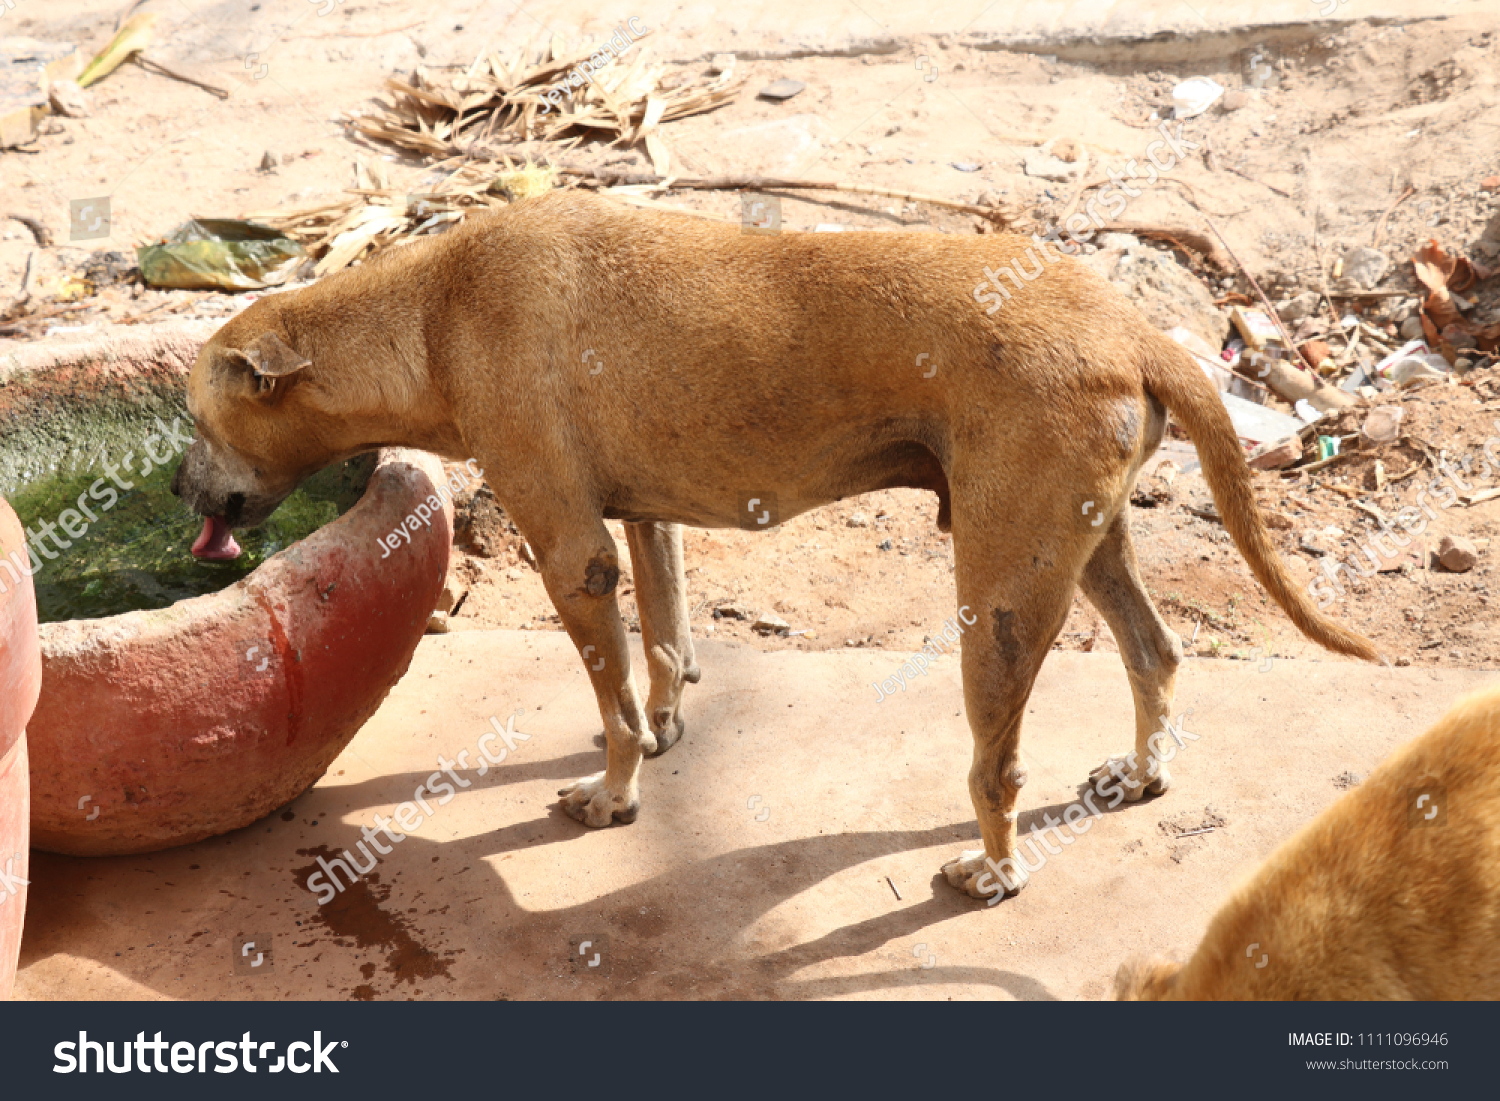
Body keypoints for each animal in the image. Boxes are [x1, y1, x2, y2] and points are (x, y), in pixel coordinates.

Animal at [170, 192, 1374, 900]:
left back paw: (993, 870)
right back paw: (1141, 772)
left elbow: (611, 696)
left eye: (193, 417)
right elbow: (661, 647)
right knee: (1156, 653)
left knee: (999, 767)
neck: (430, 311)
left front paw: (613, 797)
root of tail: (1130, 324)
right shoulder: (642, 522)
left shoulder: (570, 552)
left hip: (999, 594)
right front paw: (662, 730)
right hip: (1088, 547)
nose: (174, 488)